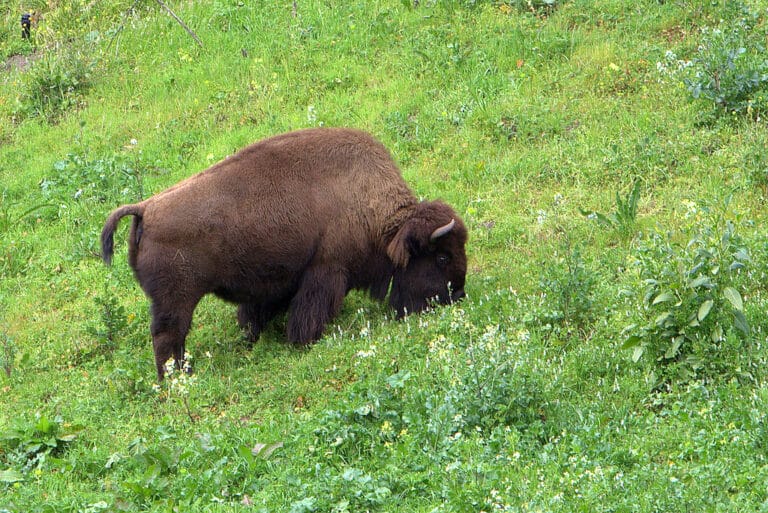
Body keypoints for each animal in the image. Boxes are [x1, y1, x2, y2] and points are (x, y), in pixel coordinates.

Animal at [101, 127, 468, 378]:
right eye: (442, 257)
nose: (458, 295)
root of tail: (146, 209)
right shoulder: (326, 272)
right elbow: (309, 313)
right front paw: (304, 342)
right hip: (176, 301)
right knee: (169, 337)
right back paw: (178, 378)